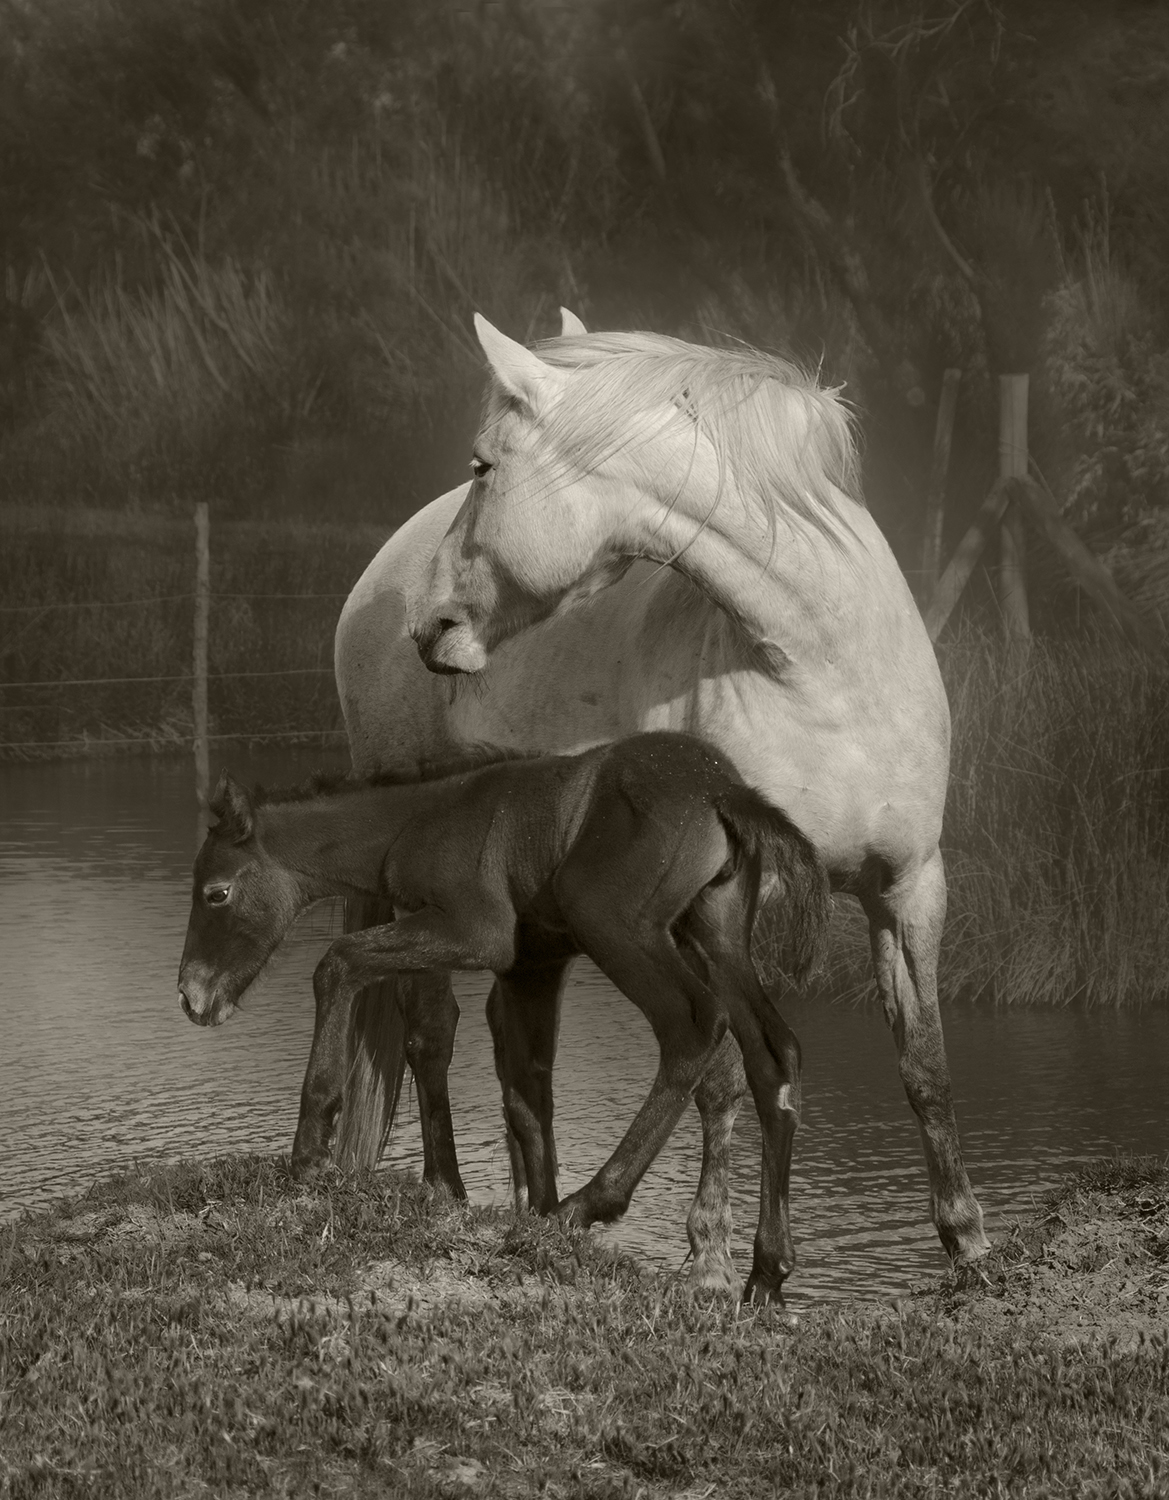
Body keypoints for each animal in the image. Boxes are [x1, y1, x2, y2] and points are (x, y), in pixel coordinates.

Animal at [333, 310, 990, 1284]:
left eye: (483, 466)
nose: (430, 623)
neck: (816, 670)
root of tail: (370, 583)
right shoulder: (711, 904)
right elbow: (724, 1072)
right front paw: (710, 1256)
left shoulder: (908, 887)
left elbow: (924, 1065)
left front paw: (967, 1243)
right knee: (429, 1025)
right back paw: (447, 1195)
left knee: (517, 1044)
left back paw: (535, 1206)